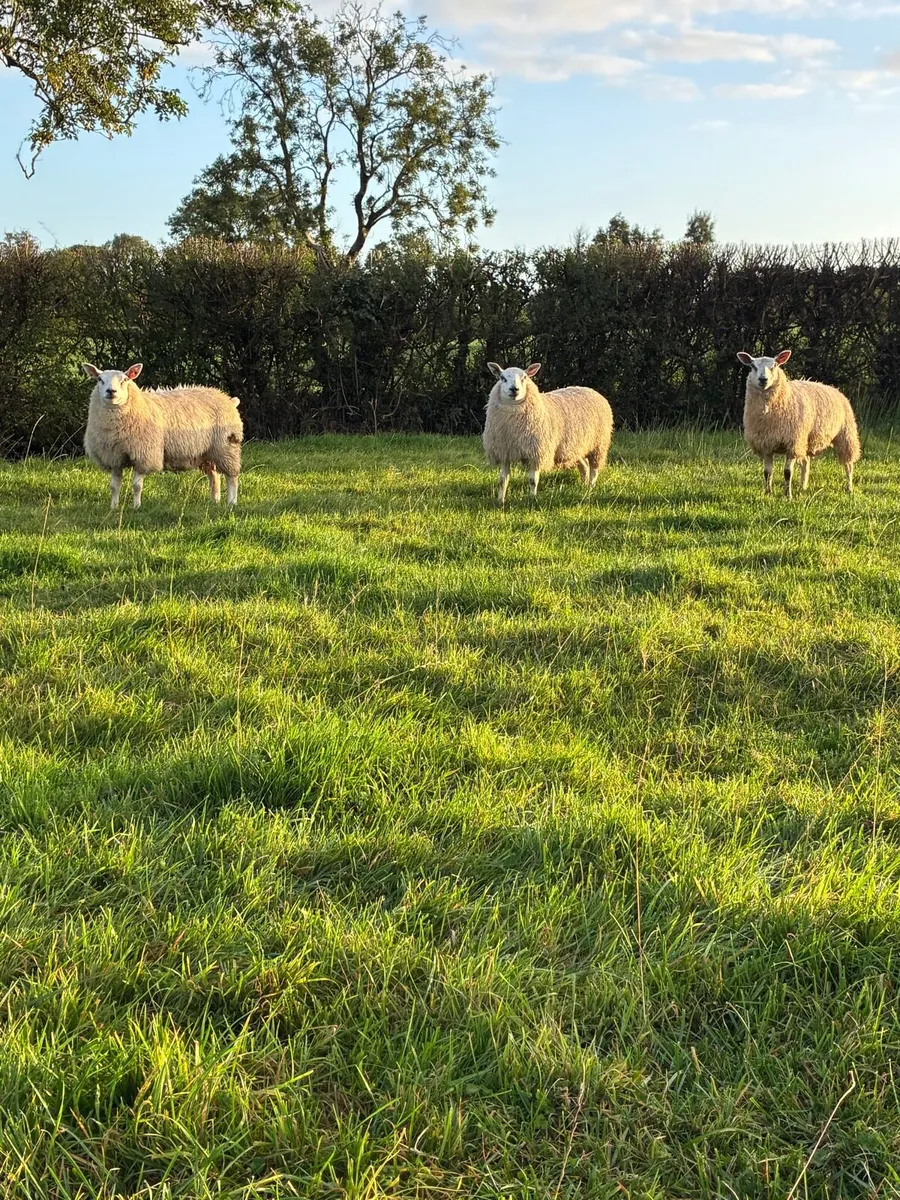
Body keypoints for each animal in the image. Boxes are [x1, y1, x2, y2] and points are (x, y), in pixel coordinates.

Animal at [82, 363, 243, 509]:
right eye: (99, 379)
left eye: (125, 379)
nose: (111, 391)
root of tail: (226, 398)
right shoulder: (114, 457)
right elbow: (114, 487)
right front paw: (113, 507)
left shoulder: (144, 455)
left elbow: (137, 486)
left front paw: (136, 507)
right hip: (207, 453)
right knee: (215, 476)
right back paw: (214, 501)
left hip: (227, 446)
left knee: (232, 476)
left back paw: (232, 502)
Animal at [483, 363, 613, 506]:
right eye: (502, 378)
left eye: (524, 377)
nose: (514, 389)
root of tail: (591, 390)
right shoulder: (504, 452)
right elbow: (502, 481)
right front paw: (500, 502)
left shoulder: (537, 452)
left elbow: (533, 481)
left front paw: (532, 500)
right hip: (575, 446)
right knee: (584, 466)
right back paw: (584, 485)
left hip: (599, 444)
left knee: (594, 469)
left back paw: (590, 488)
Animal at [737, 349, 860, 499]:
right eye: (753, 366)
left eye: (774, 366)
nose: (763, 379)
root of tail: (834, 389)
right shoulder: (767, 444)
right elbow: (767, 472)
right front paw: (768, 493)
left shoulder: (792, 444)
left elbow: (787, 472)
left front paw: (788, 495)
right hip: (806, 439)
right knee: (806, 463)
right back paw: (803, 486)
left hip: (846, 435)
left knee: (848, 464)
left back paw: (849, 488)